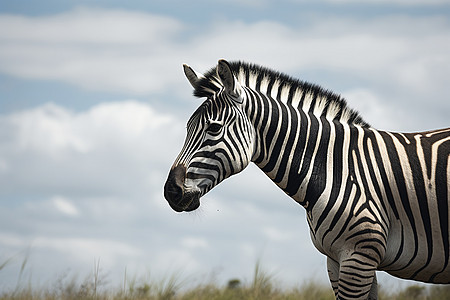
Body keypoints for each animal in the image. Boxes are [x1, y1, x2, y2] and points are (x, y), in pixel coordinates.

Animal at [165, 59, 450, 298]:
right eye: (187, 128)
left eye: (214, 128)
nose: (171, 192)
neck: (338, 169)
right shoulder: (337, 259)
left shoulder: (359, 255)